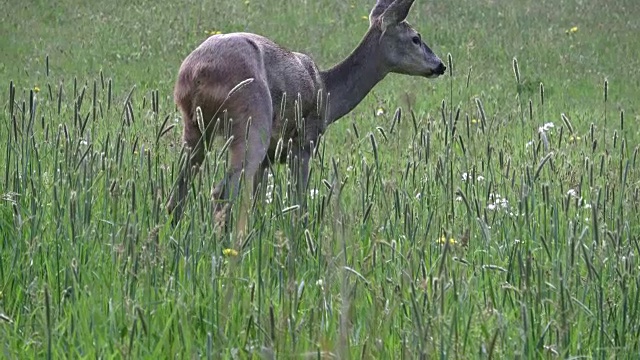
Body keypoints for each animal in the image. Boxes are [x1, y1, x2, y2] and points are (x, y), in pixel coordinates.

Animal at [166, 0, 444, 225]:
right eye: (416, 38)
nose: (440, 65)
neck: (327, 94)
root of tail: (198, 69)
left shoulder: (270, 158)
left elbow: (258, 203)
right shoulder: (304, 143)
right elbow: (299, 205)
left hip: (194, 126)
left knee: (178, 193)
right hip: (252, 122)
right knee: (223, 192)